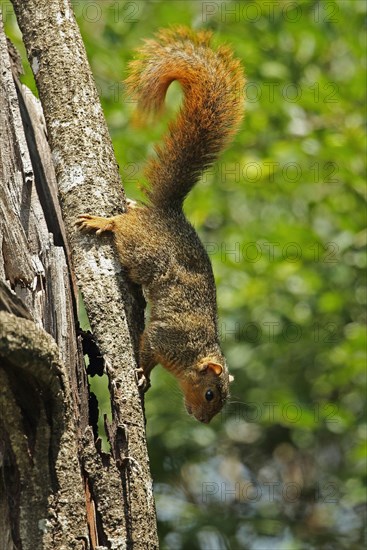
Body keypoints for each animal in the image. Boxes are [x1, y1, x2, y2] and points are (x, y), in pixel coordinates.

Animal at [76, 27, 246, 426]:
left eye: (220, 402)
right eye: (210, 393)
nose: (203, 420)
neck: (194, 355)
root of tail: (167, 213)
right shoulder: (165, 337)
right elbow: (147, 348)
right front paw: (142, 375)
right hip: (140, 248)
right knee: (121, 227)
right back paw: (104, 219)